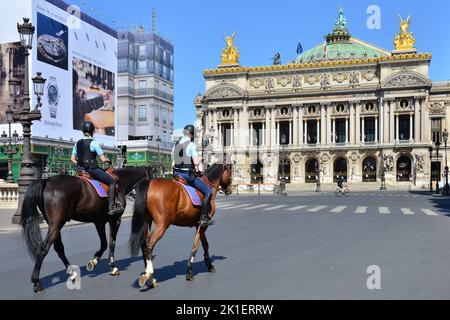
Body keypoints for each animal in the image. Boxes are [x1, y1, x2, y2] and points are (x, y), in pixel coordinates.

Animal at [20, 166, 151, 292]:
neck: (120, 182)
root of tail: (47, 180)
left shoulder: (99, 221)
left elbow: (104, 243)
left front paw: (94, 261)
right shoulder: (115, 219)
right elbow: (111, 243)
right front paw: (112, 266)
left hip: (55, 224)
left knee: (59, 248)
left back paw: (72, 272)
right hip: (56, 224)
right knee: (44, 247)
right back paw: (37, 281)